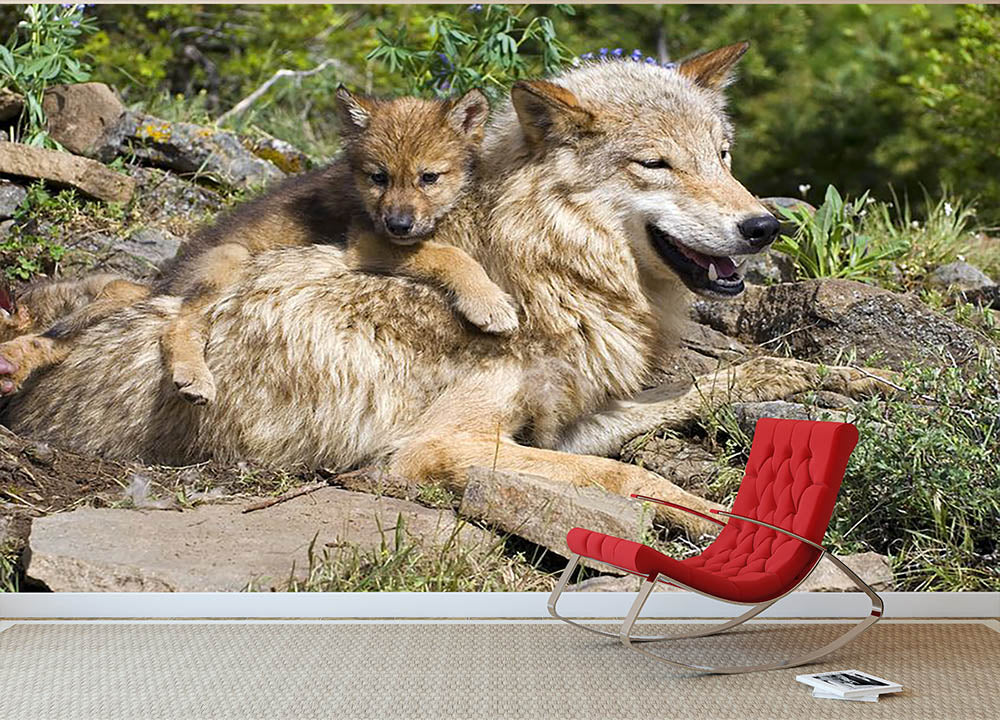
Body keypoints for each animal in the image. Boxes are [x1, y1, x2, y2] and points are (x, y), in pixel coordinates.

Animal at [0, 87, 517, 404]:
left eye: (429, 178)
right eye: (379, 177)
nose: (400, 223)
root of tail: (165, 279)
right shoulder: (366, 242)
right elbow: (448, 254)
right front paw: (489, 302)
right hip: (230, 260)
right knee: (175, 325)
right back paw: (195, 377)